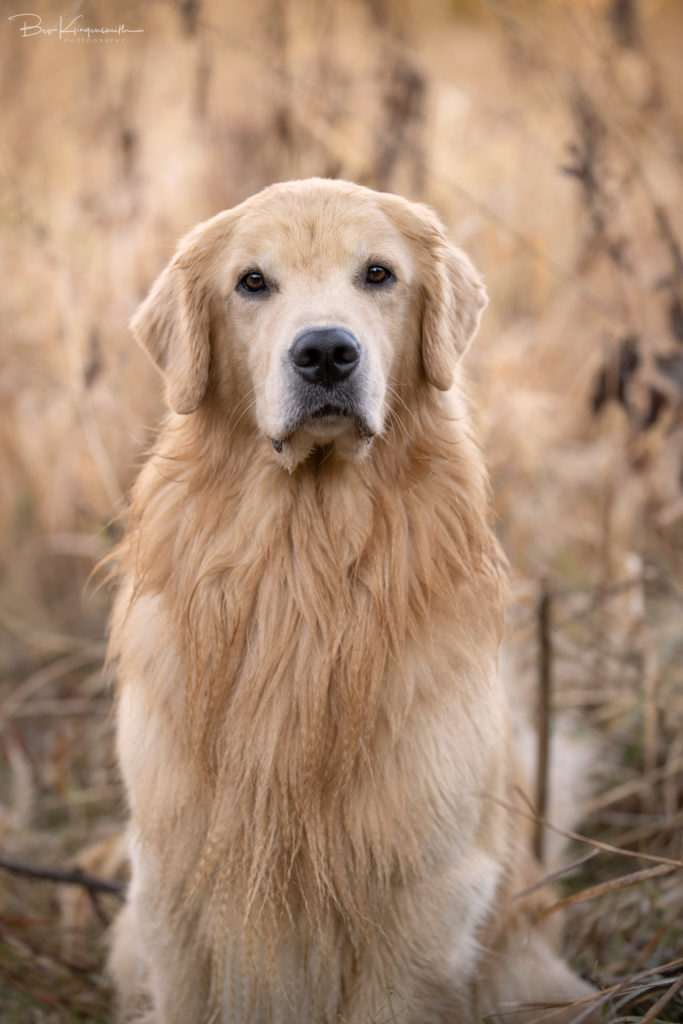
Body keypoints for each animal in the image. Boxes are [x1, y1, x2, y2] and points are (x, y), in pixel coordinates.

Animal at [108, 180, 598, 1019]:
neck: (305, 571)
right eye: (251, 282)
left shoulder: (422, 895)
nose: (326, 352)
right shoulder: (173, 885)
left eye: (377, 274)